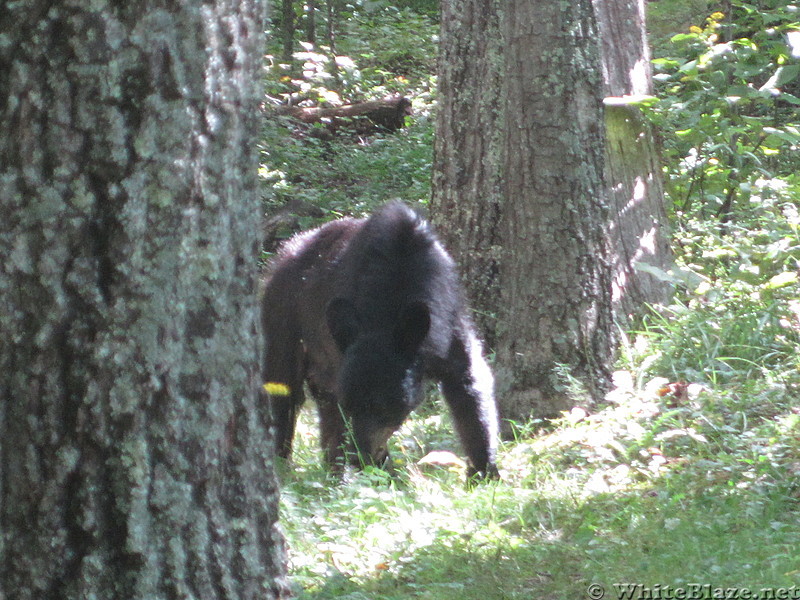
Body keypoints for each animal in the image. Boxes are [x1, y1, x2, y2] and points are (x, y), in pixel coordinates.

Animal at [262, 202, 496, 478]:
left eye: (383, 407)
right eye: (351, 405)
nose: (360, 455)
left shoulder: (449, 326)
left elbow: (470, 387)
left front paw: (485, 472)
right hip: (282, 317)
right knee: (283, 390)